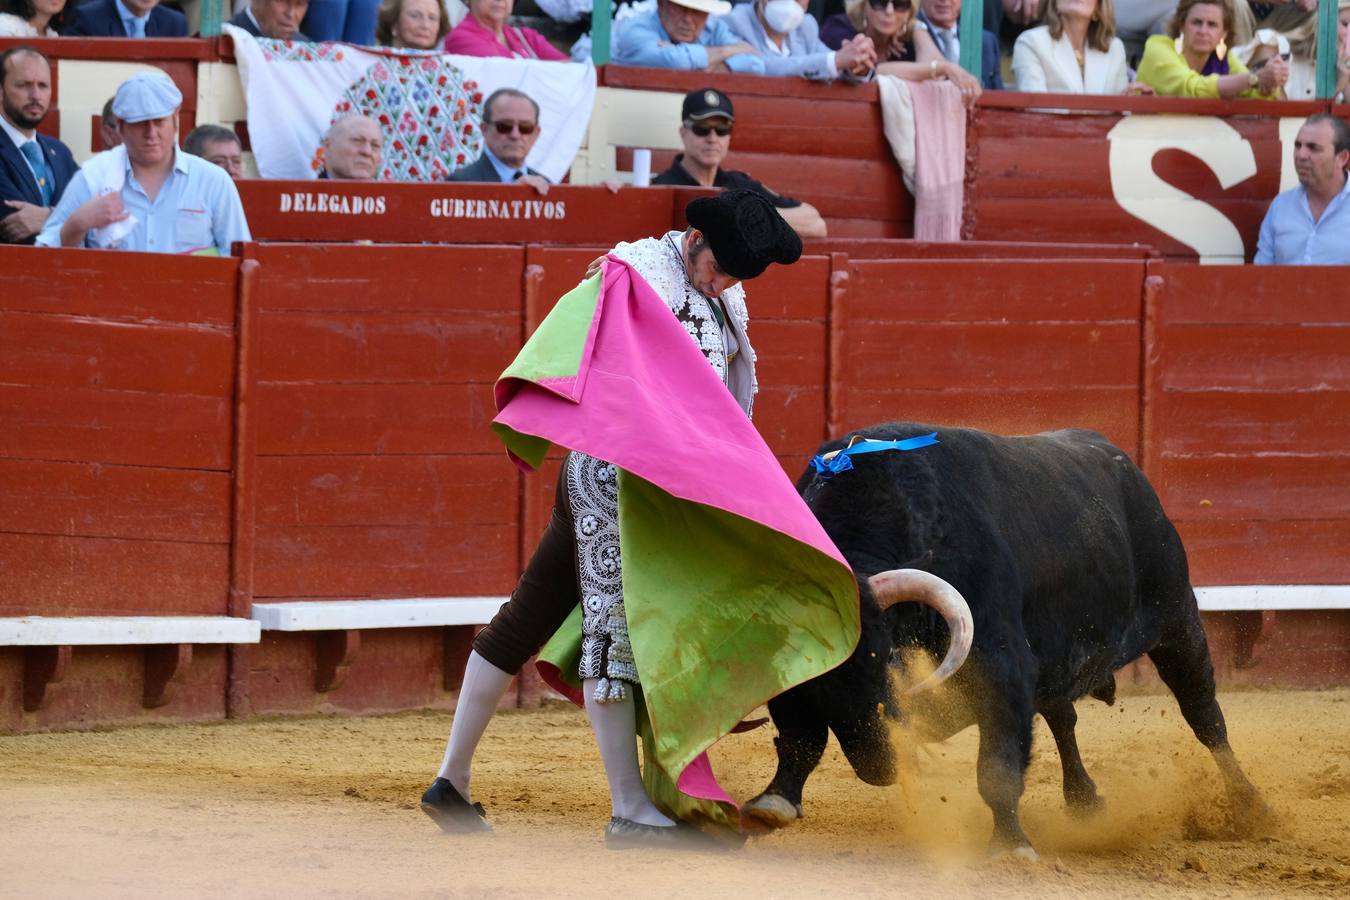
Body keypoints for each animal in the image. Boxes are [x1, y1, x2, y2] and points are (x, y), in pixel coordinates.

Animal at [745, 426, 1269, 858]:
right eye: (810, 675)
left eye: (884, 656)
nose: (882, 764)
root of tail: (1125, 465)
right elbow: (801, 741)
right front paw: (774, 802)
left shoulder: (1002, 668)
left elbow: (998, 764)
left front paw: (1011, 846)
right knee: (1063, 717)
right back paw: (1085, 801)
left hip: (1179, 622)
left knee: (1205, 716)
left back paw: (1251, 807)